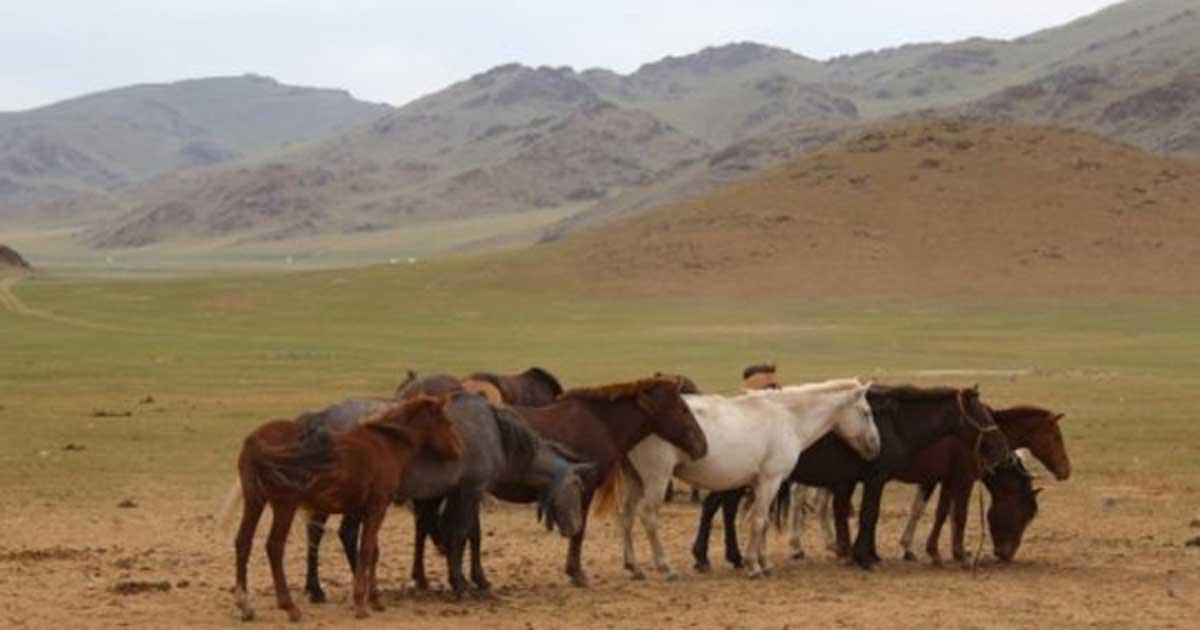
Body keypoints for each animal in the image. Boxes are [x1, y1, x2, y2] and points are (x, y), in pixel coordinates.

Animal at [232, 396, 463, 622]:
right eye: (447, 422)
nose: (459, 449)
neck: (386, 445)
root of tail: (255, 440)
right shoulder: (377, 508)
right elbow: (366, 550)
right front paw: (361, 603)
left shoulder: (362, 510)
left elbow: (373, 551)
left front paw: (375, 598)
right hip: (285, 506)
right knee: (274, 546)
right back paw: (290, 607)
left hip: (255, 501)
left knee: (243, 542)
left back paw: (245, 605)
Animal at [297, 388, 594, 601]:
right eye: (577, 488)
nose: (575, 527)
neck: (496, 433)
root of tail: (323, 416)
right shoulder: (471, 490)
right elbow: (461, 533)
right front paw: (461, 584)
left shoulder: (459, 493)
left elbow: (466, 535)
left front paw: (475, 580)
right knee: (345, 533)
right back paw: (364, 589)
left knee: (317, 533)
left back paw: (316, 589)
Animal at [492, 376, 708, 587]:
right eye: (683, 409)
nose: (703, 445)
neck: (601, 424)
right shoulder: (586, 487)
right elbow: (580, 530)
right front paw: (576, 573)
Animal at [620, 379, 879, 579]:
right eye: (866, 412)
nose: (876, 446)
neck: (787, 418)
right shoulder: (770, 480)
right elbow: (758, 521)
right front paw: (753, 566)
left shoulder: (760, 484)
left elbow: (761, 523)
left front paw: (762, 562)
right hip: (656, 480)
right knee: (648, 517)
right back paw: (665, 567)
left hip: (635, 481)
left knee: (627, 517)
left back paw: (633, 567)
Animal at [692, 384, 1011, 571]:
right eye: (980, 413)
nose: (1001, 448)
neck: (896, 423)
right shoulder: (875, 478)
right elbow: (869, 515)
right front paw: (864, 557)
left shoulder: (864, 480)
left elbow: (858, 514)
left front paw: (864, 553)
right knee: (713, 507)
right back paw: (705, 557)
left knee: (724, 509)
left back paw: (732, 557)